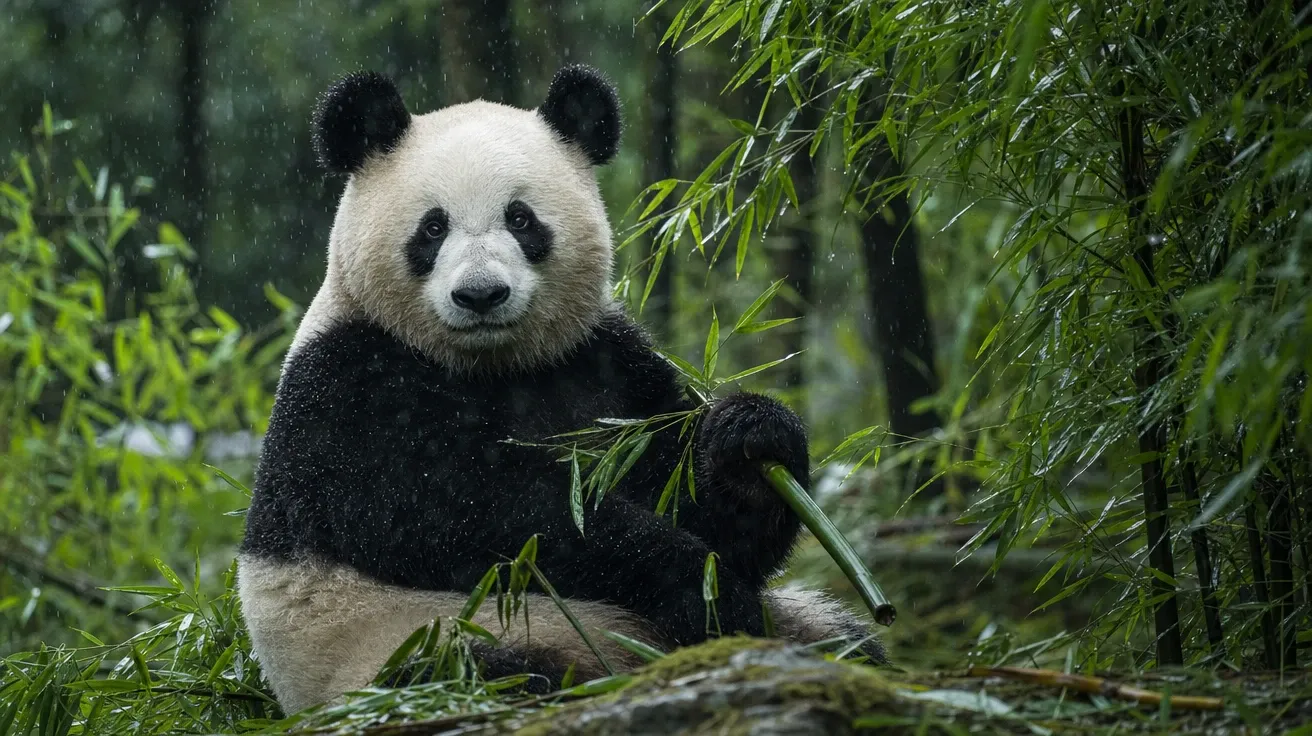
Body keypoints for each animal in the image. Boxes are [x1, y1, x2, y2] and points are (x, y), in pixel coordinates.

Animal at [237, 64, 883, 714]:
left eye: (521, 219)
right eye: (433, 227)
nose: (480, 295)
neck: (493, 363)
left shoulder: (602, 365)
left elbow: (691, 497)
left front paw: (750, 438)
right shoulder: (348, 385)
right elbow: (468, 513)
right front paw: (698, 585)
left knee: (846, 641)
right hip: (407, 647)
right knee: (482, 674)